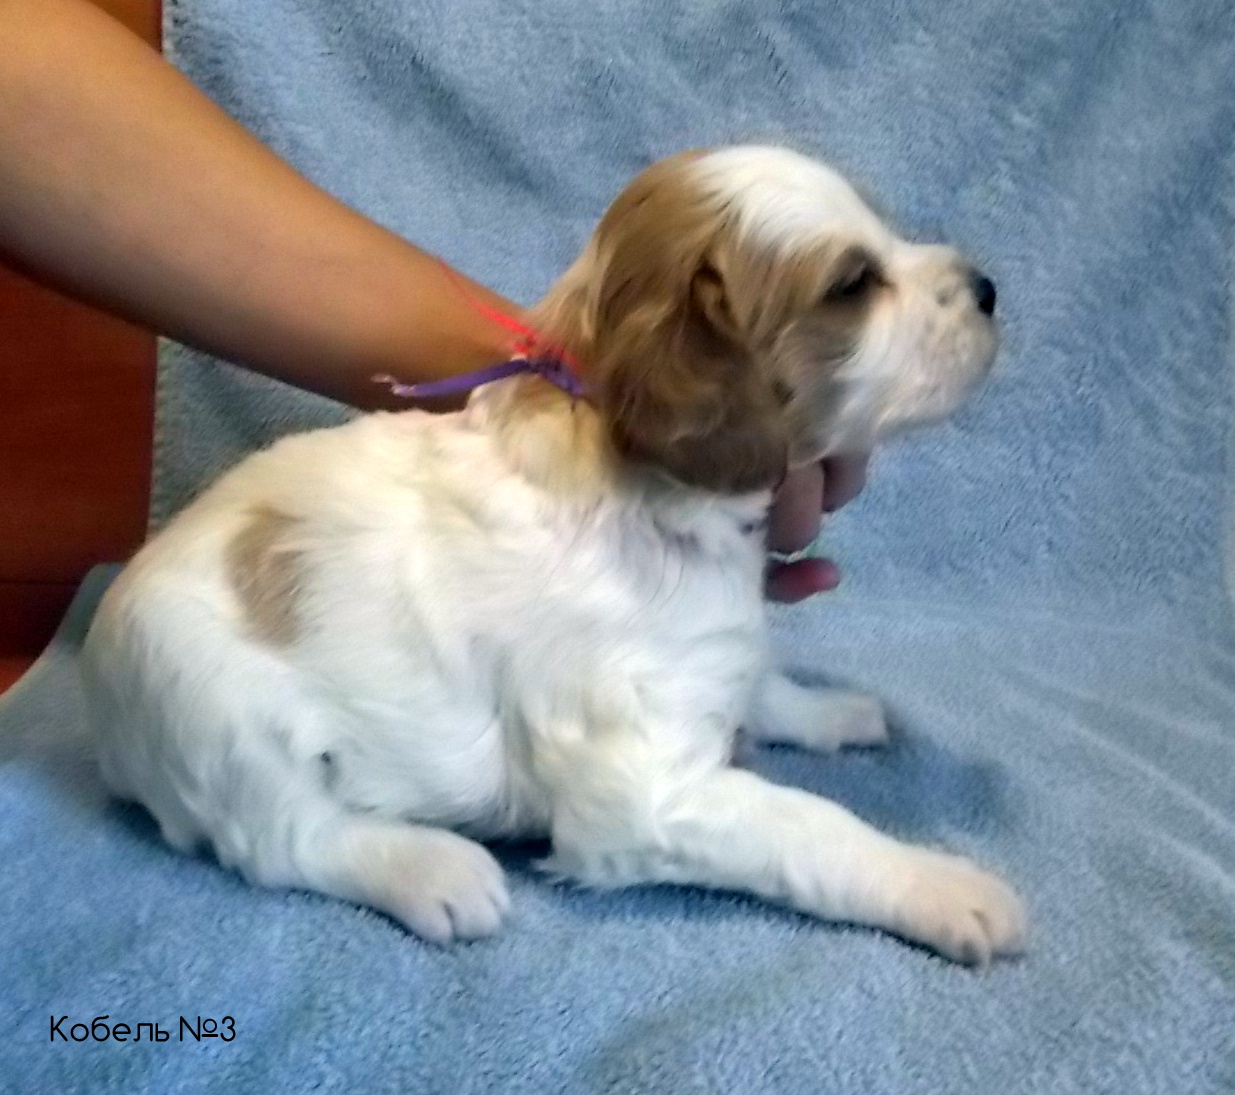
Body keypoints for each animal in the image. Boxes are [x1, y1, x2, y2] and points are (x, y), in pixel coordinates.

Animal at [81, 146, 1023, 964]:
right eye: (852, 284)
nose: (988, 288)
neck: (658, 504)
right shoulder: (639, 793)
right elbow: (810, 825)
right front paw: (941, 885)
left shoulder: (711, 656)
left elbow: (759, 681)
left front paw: (828, 712)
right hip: (225, 725)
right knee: (287, 841)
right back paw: (435, 870)